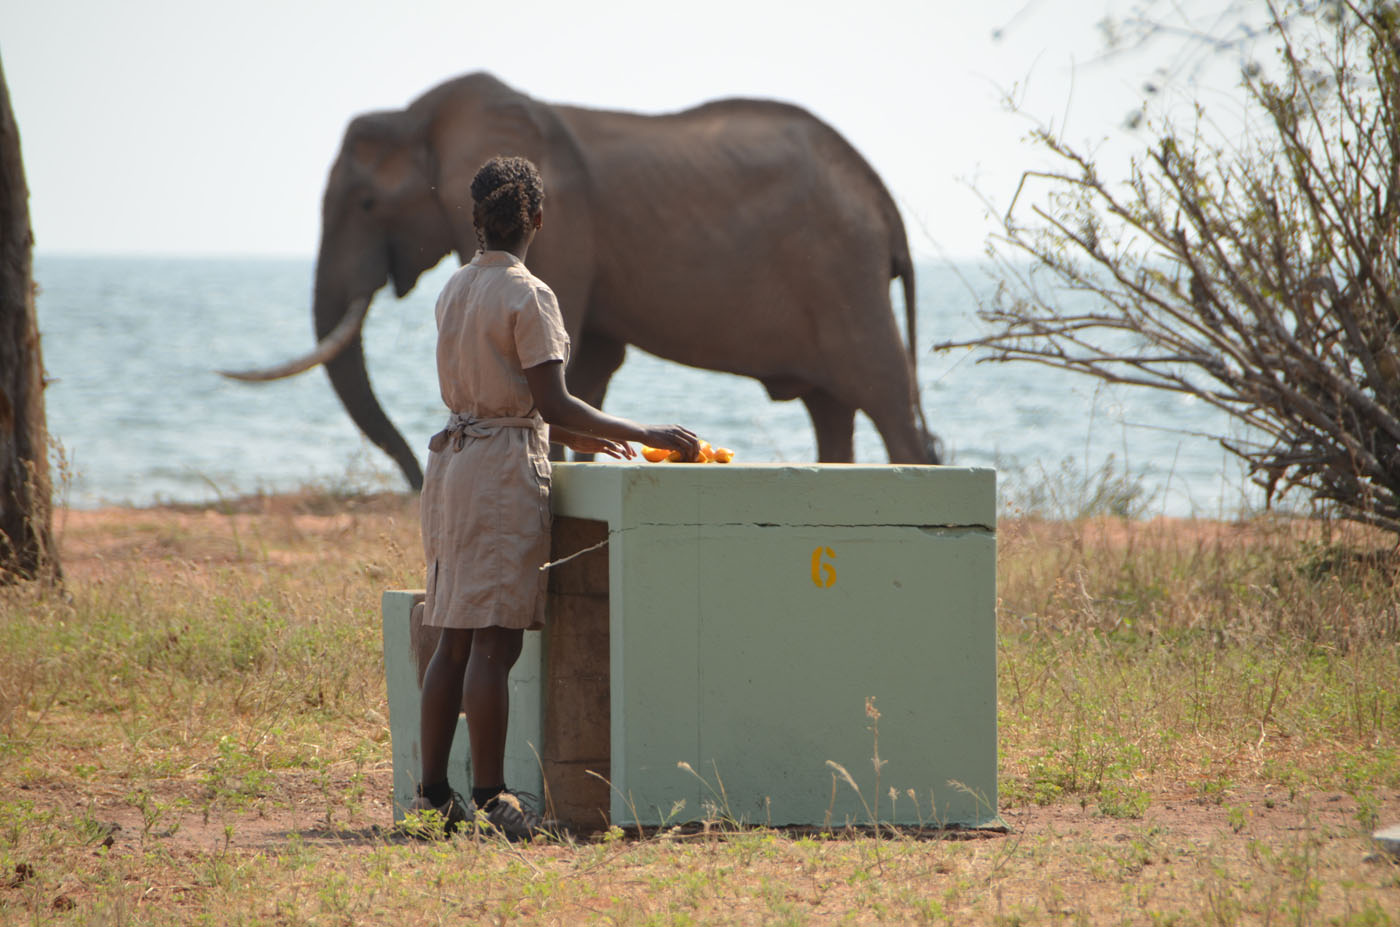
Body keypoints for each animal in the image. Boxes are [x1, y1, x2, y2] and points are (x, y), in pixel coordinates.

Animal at [224, 74, 935, 487]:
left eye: (369, 205)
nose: (419, 479)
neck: (422, 115)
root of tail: (887, 206)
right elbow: (583, 373)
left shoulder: (563, 229)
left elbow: (574, 376)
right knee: (833, 409)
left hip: (844, 274)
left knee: (888, 401)